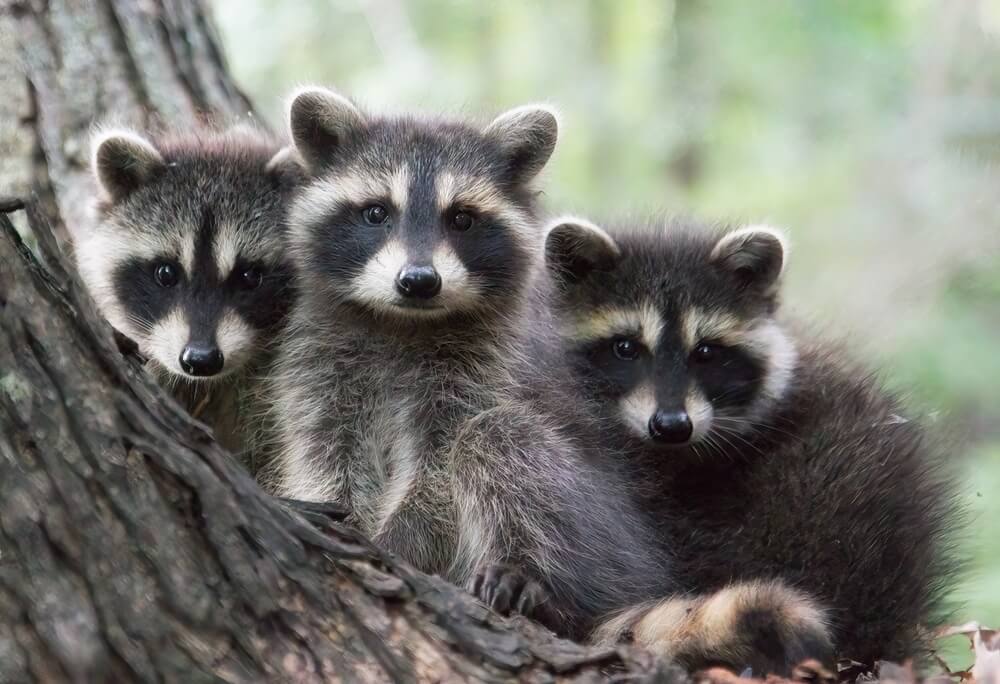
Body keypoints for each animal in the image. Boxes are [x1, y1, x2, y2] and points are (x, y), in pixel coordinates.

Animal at [266, 87, 674, 640]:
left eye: (460, 218)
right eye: (375, 213)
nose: (418, 281)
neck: (403, 323)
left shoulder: (485, 366)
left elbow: (441, 465)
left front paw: (400, 541)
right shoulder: (319, 362)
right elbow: (327, 451)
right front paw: (343, 514)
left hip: (608, 539)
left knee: (498, 441)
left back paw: (534, 581)